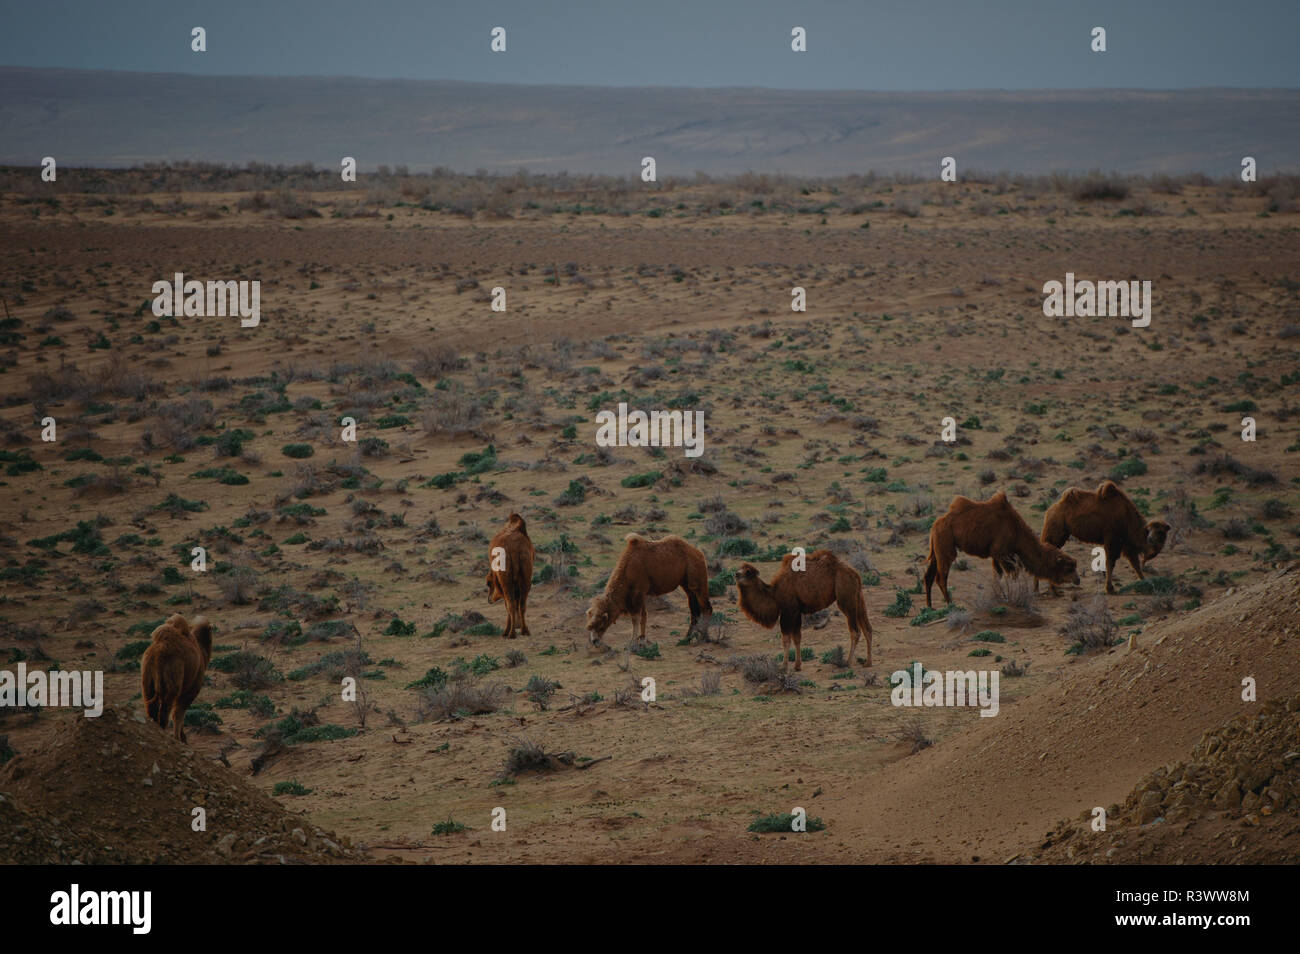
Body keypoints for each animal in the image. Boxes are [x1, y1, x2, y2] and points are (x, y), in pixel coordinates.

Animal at [141, 613, 211, 748]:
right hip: (172, 683)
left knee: (151, 708)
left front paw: (182, 738)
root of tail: (158, 655)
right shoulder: (190, 690)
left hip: (147, 680)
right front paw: (180, 739)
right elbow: (179, 713)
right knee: (165, 711)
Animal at [733, 548, 873, 675]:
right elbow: (797, 637)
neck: (774, 594)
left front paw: (784, 667)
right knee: (867, 628)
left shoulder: (788, 610)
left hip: (846, 598)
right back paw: (868, 662)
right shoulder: (796, 612)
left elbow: (786, 639)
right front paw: (797, 666)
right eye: (740, 569)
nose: (736, 574)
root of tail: (855, 573)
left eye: (748, 572)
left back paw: (847, 662)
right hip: (858, 597)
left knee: (855, 631)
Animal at [925, 488, 1086, 608]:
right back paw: (951, 604)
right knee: (941, 576)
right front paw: (1010, 597)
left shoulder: (997, 555)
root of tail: (934, 526)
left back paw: (930, 606)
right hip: (945, 543)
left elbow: (998, 576)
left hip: (938, 547)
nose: (1078, 579)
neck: (1017, 531)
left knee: (929, 575)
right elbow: (1011, 574)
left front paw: (1000, 597)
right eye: (1068, 568)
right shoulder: (1001, 552)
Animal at [1040, 480, 1175, 595]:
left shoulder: (1125, 543)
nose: (1155, 547)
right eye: (1158, 532)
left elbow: (1134, 563)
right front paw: (1110, 588)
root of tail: (1050, 509)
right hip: (1056, 532)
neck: (1127, 518)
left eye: (1163, 534)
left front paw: (1145, 582)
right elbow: (1110, 562)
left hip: (1062, 534)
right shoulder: (1112, 538)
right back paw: (1053, 590)